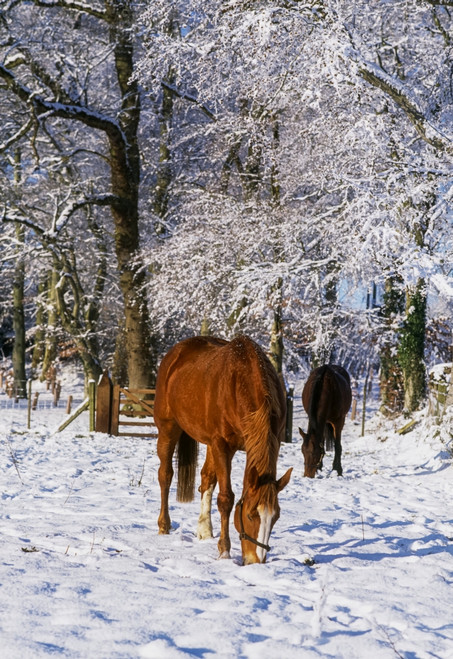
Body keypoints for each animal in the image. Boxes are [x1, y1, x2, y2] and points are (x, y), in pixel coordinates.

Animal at [153, 335, 292, 565]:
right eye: (250, 515)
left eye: (276, 516)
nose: (255, 561)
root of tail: (175, 353)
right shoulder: (222, 445)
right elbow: (226, 498)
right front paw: (225, 551)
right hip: (168, 428)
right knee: (165, 474)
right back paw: (164, 525)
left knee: (206, 477)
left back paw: (204, 530)